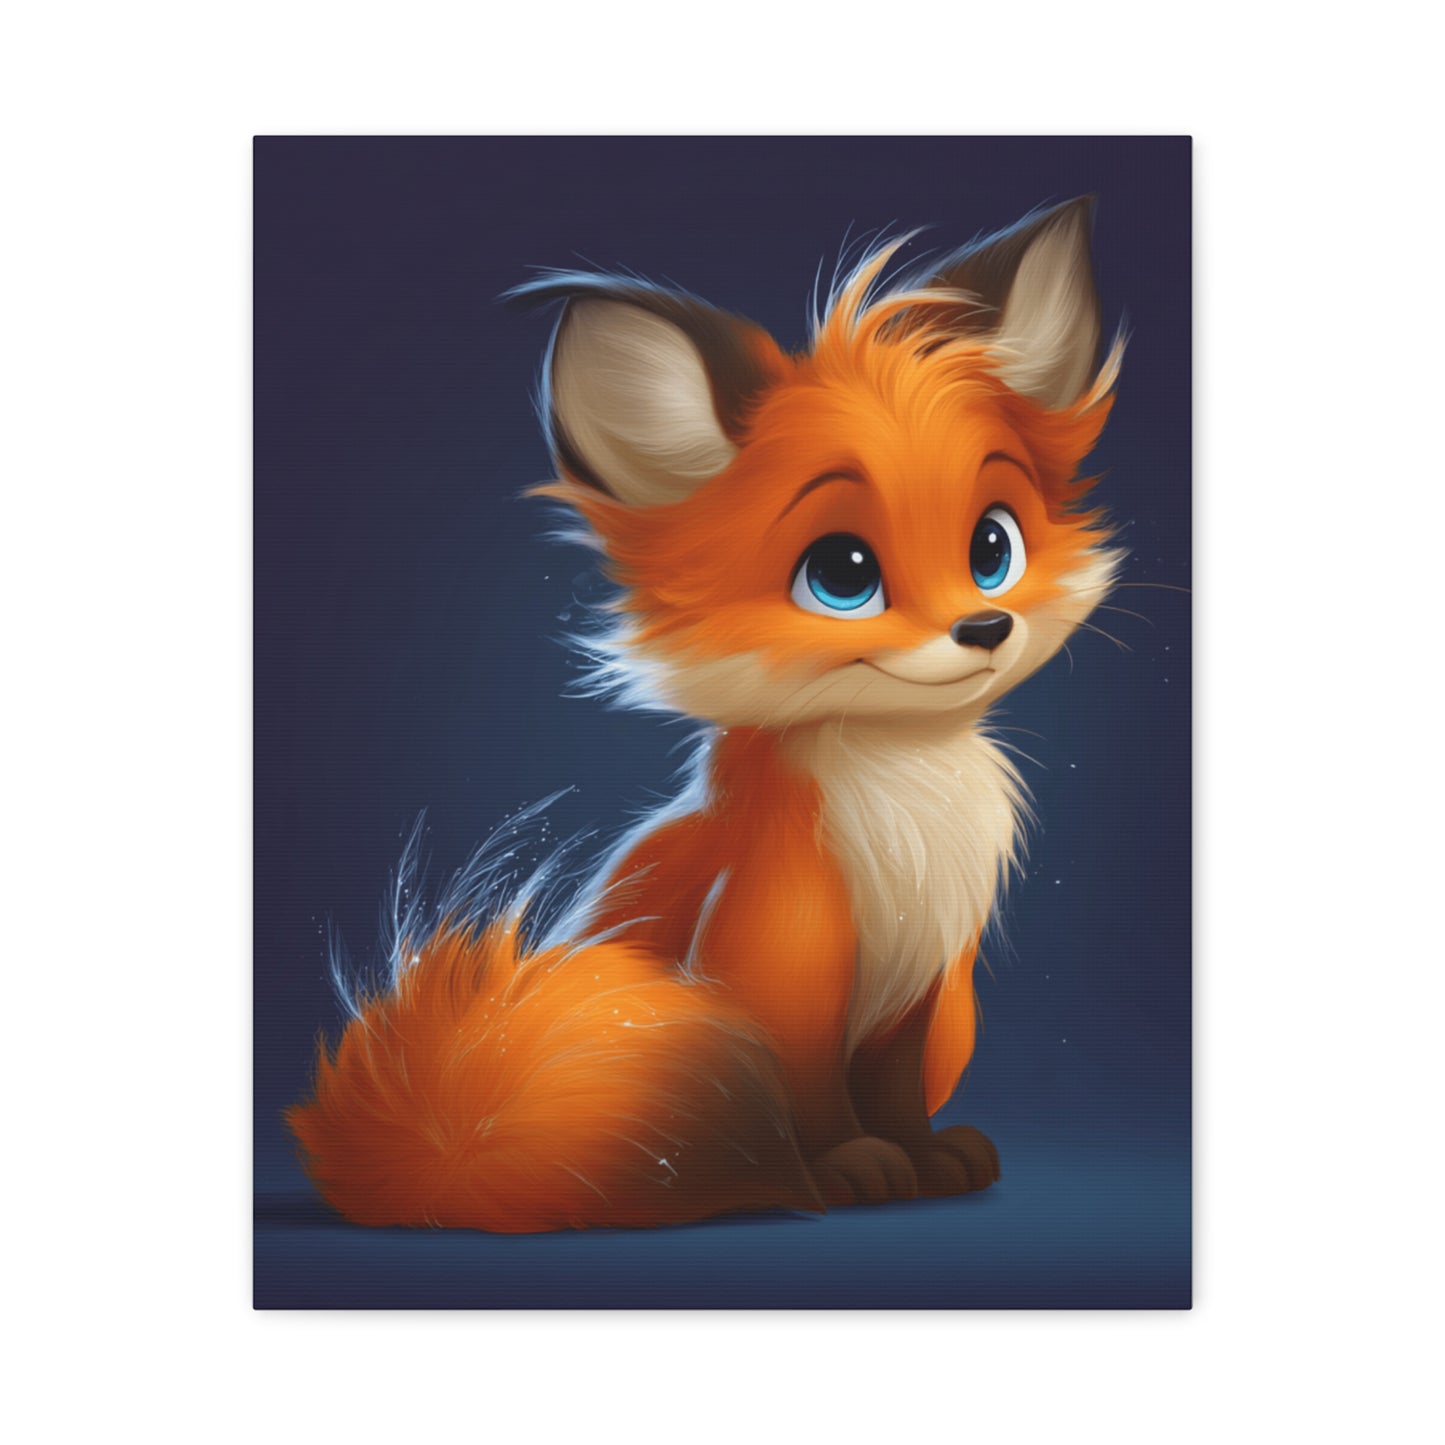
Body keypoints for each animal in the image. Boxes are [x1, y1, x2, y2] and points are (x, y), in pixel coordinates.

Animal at [287, 197, 1126, 1231]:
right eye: (842, 574)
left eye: (992, 547)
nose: (984, 625)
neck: (901, 788)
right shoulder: (779, 962)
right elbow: (813, 1095)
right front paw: (850, 1165)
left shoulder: (925, 984)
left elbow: (892, 1091)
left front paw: (927, 1157)